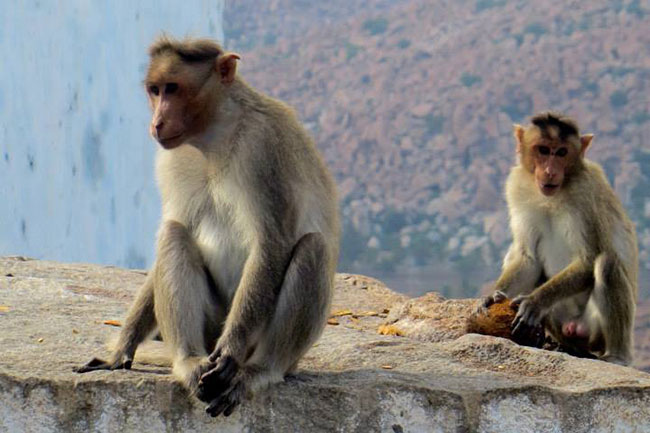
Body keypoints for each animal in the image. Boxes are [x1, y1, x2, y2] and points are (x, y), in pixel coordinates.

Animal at [75, 37, 340, 416]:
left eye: (173, 88)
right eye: (155, 90)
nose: (157, 122)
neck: (213, 135)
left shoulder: (265, 148)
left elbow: (271, 244)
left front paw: (230, 351)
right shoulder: (169, 160)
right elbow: (178, 225)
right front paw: (121, 349)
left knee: (312, 248)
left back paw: (257, 371)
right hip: (210, 325)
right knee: (174, 233)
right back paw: (188, 361)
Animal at [480, 109, 636, 362]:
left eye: (562, 152)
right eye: (543, 150)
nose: (550, 171)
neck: (553, 196)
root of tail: (575, 327)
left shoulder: (585, 191)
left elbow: (588, 260)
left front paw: (535, 302)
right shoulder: (517, 187)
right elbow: (527, 258)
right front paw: (494, 296)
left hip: (594, 328)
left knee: (607, 263)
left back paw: (618, 355)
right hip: (561, 321)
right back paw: (566, 346)